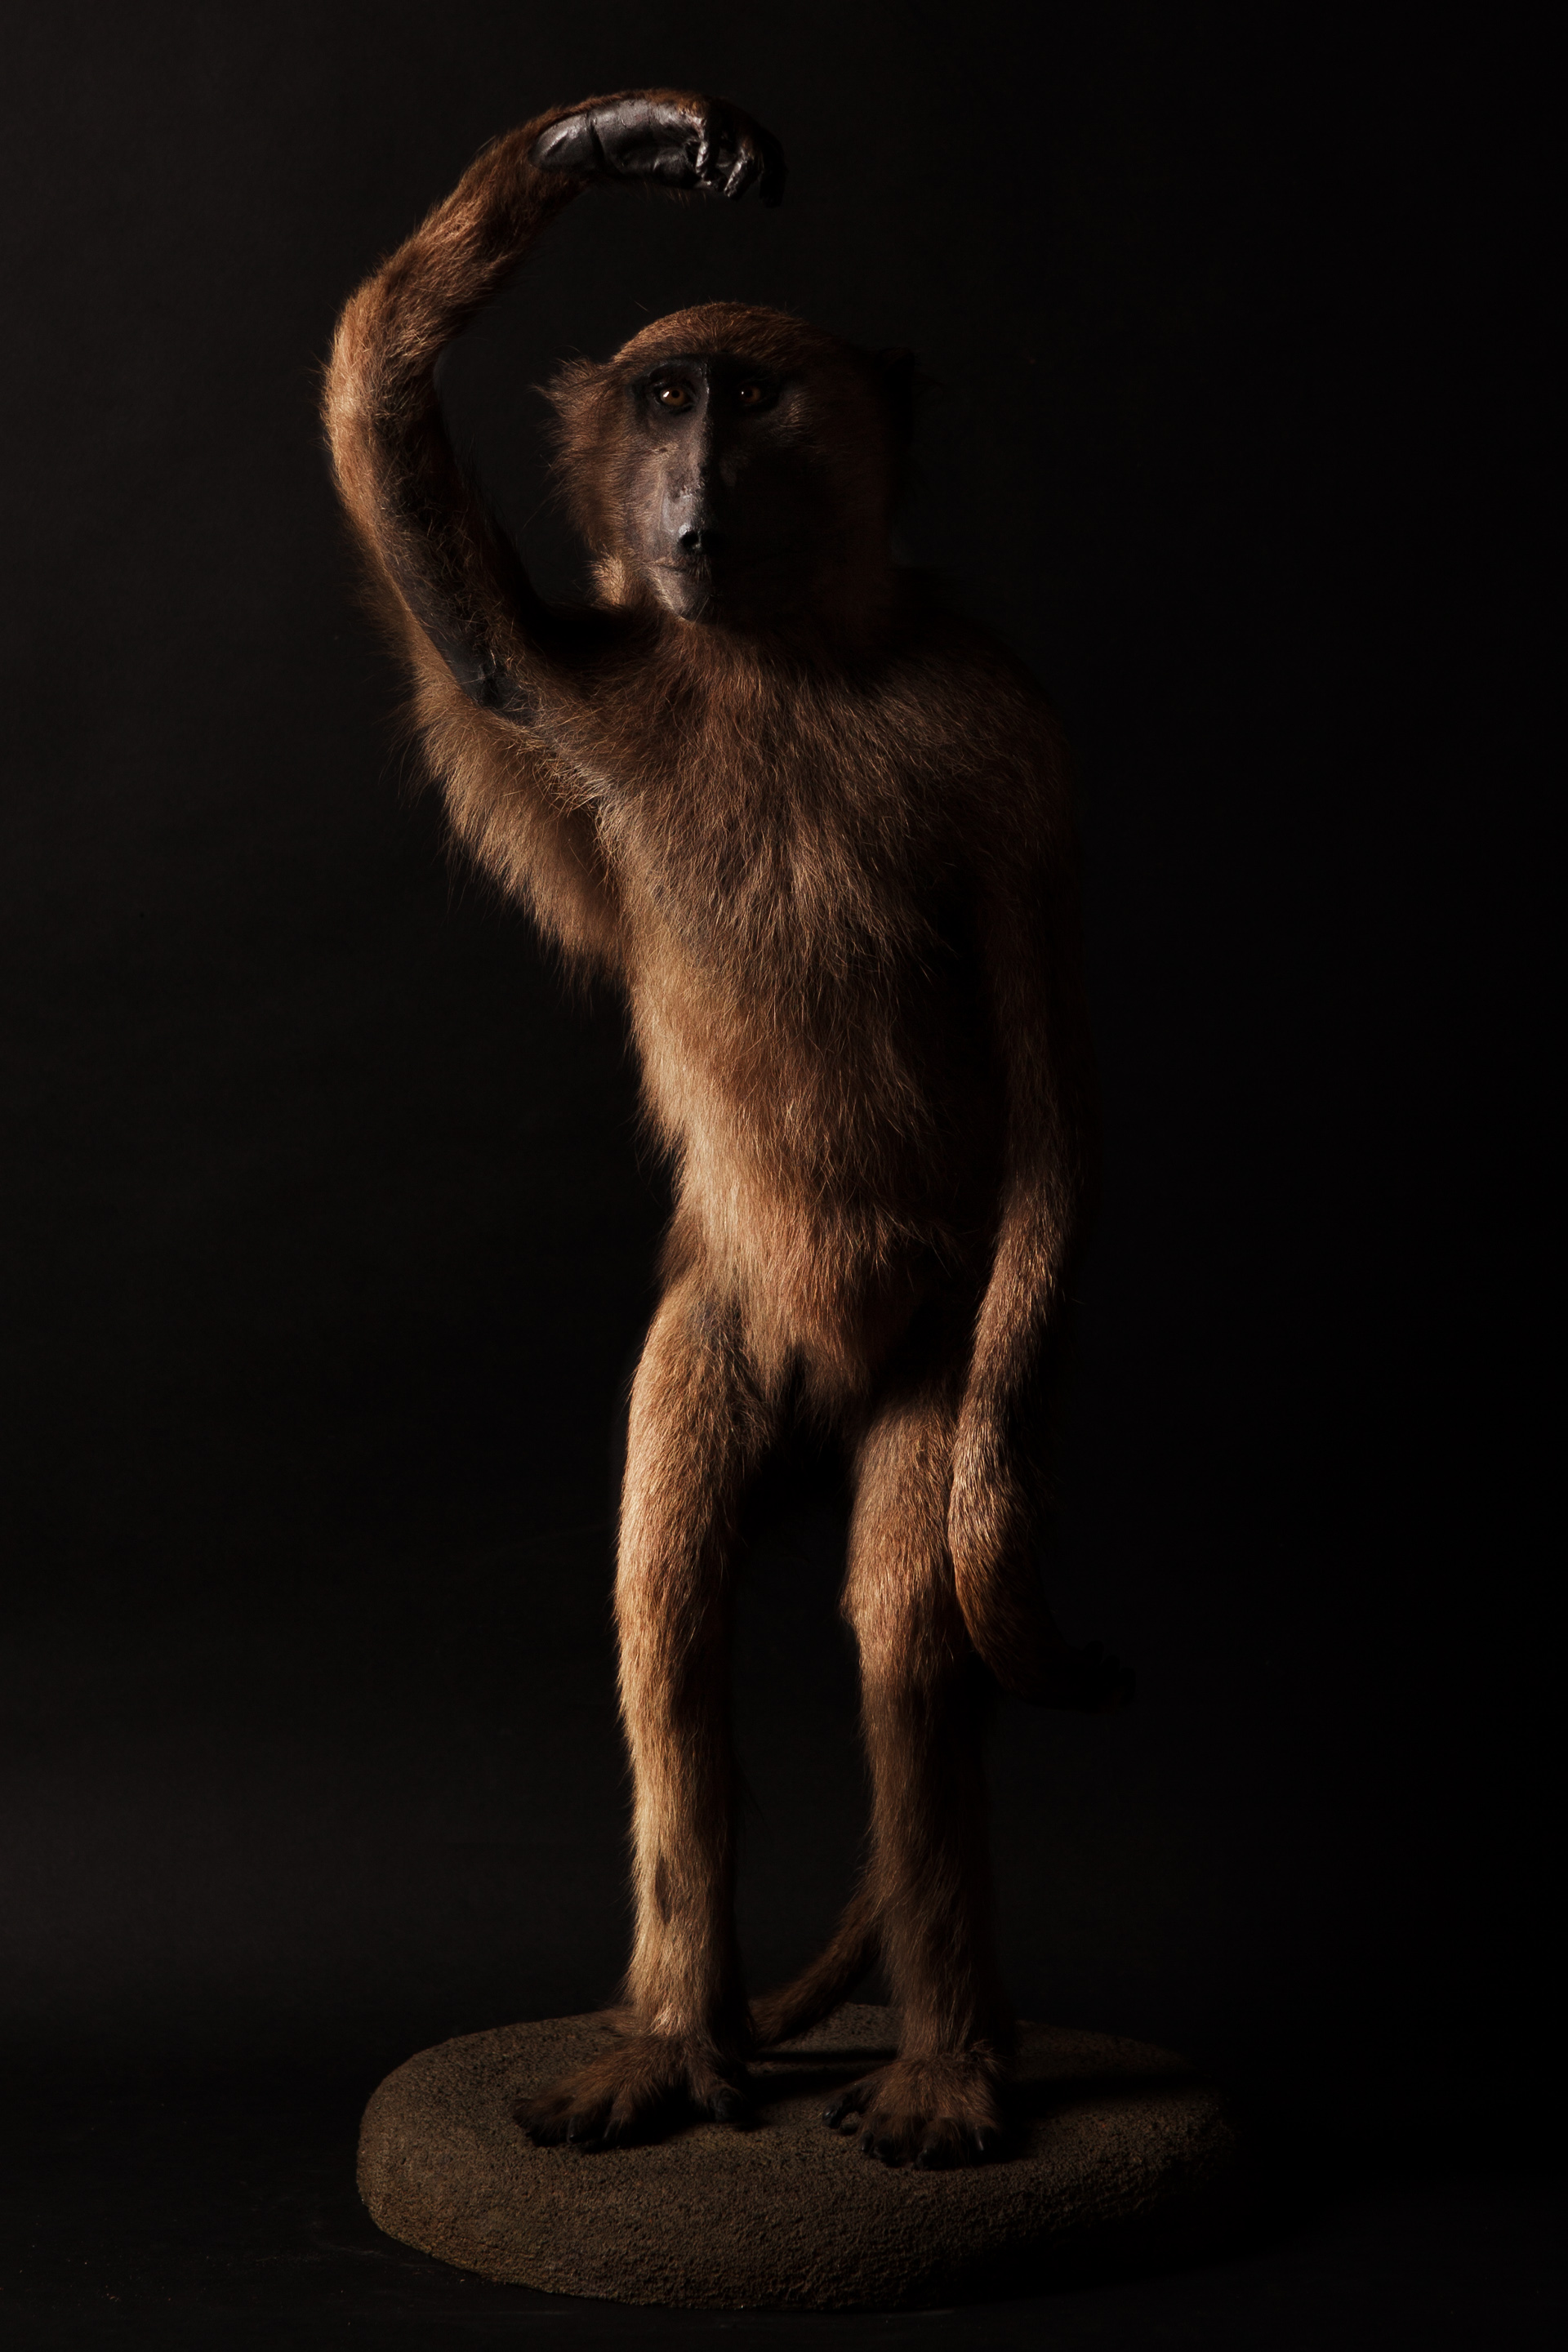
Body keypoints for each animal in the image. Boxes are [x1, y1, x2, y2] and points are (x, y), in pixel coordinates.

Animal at [324, 89, 1131, 2171]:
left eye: (754, 399)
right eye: (667, 394)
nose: (687, 508)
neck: (775, 661)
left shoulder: (1014, 747)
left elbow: (1052, 1104)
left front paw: (1005, 1542)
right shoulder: (573, 687)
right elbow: (397, 479)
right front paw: (608, 143)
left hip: (933, 1333)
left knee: (902, 1638)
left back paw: (945, 2063)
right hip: (718, 1327)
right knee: (666, 1621)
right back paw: (675, 2042)